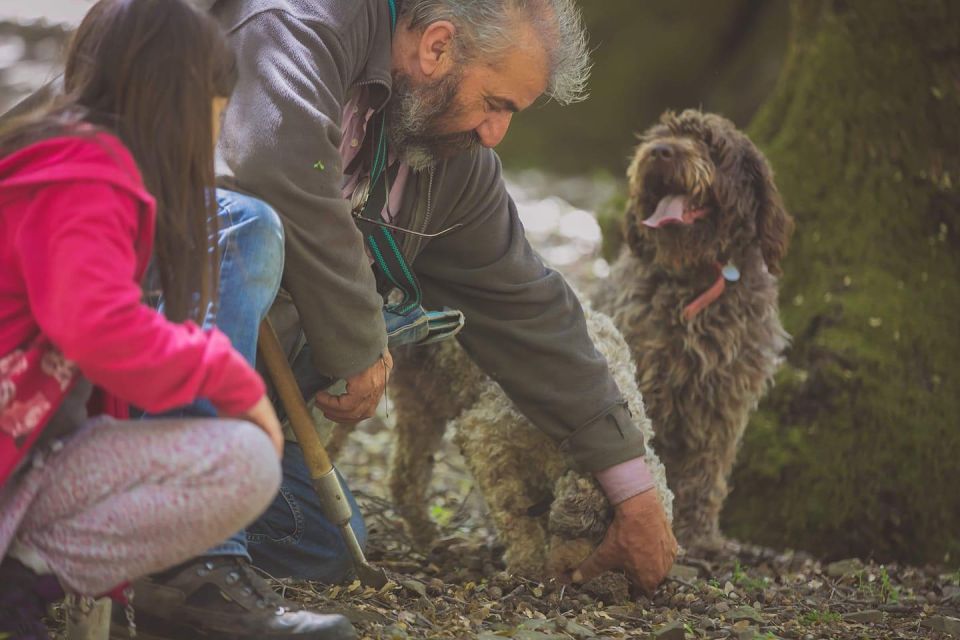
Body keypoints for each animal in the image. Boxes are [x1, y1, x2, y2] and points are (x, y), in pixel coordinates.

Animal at [596, 109, 792, 552]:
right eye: (661, 134)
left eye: (710, 145)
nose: (660, 152)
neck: (696, 279)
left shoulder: (724, 401)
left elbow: (707, 470)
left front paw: (700, 533)